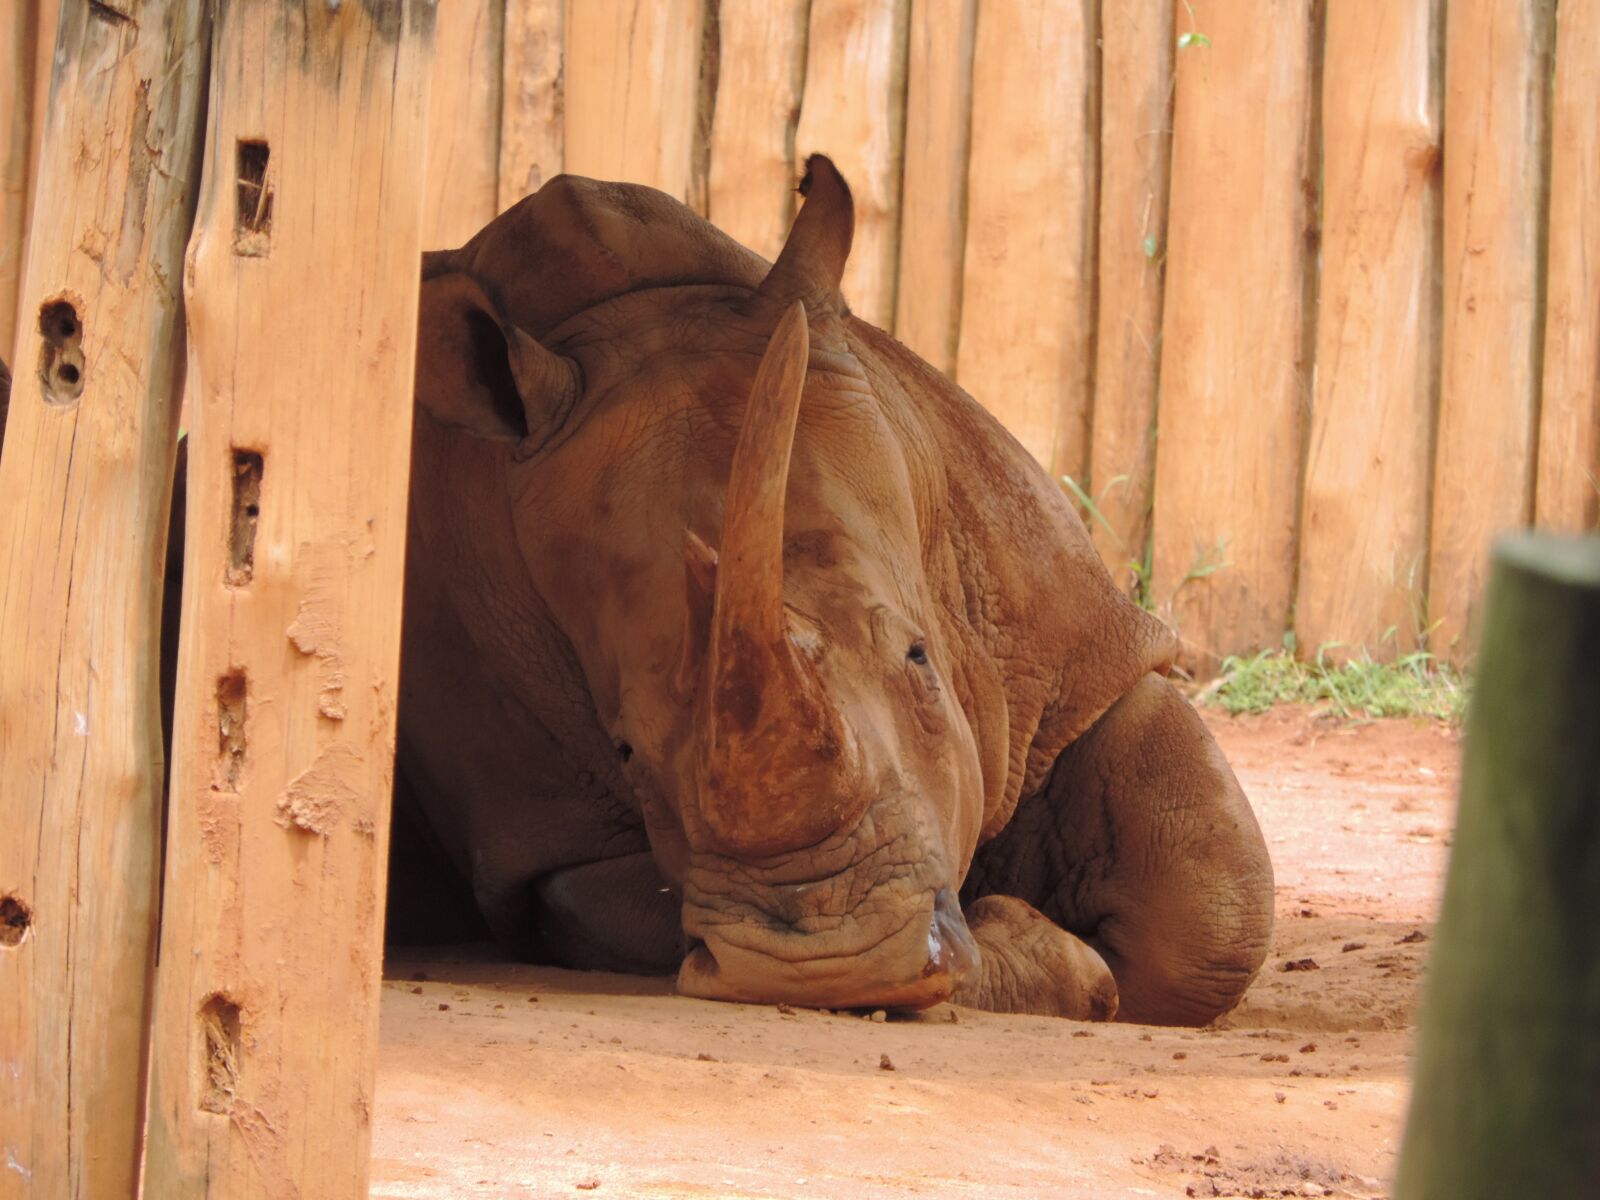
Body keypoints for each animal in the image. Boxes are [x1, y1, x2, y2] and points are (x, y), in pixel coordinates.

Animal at [375, 156, 1275, 1024]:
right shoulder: (543, 845)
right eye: (625, 750)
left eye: (918, 657)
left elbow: (1217, 907)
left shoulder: (1081, 652)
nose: (834, 962)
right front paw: (1051, 963)